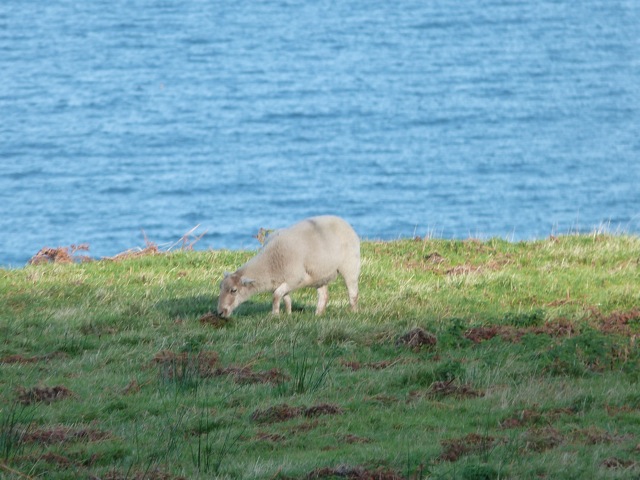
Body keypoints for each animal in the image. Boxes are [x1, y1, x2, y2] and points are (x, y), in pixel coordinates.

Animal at [217, 215, 360, 318]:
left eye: (234, 290)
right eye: (221, 287)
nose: (220, 313)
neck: (269, 264)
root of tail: (343, 222)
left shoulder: (294, 278)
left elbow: (276, 296)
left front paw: (275, 315)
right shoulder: (283, 282)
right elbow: (285, 298)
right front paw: (288, 314)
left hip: (350, 265)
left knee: (353, 292)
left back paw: (353, 312)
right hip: (319, 274)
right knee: (324, 296)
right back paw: (318, 315)